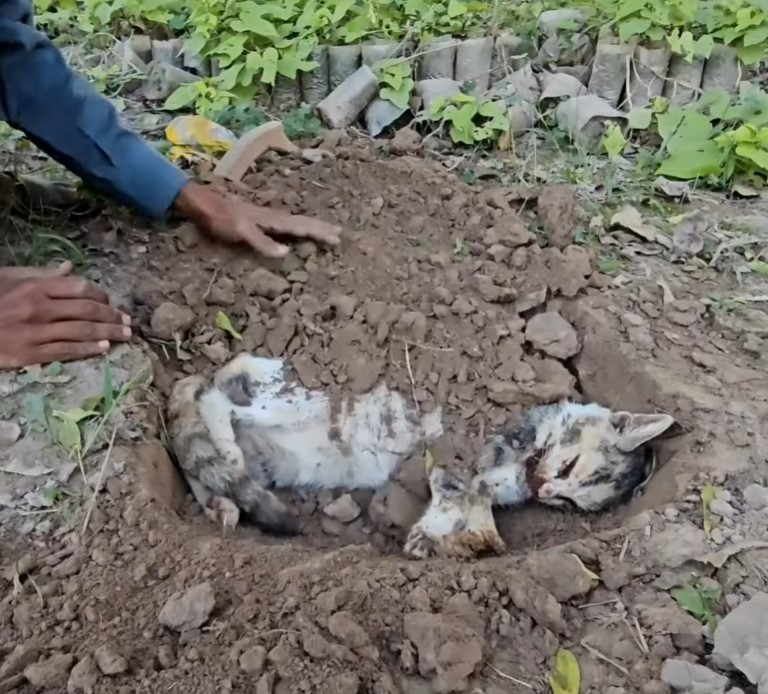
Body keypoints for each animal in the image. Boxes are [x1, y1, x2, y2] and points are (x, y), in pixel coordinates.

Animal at [168, 354, 672, 560]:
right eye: (568, 469)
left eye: (566, 503)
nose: (543, 488)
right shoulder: (462, 453)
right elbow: (465, 495)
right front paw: (452, 536)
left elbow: (476, 513)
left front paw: (449, 540)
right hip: (291, 400)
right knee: (217, 395)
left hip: (268, 458)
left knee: (200, 455)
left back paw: (224, 502)